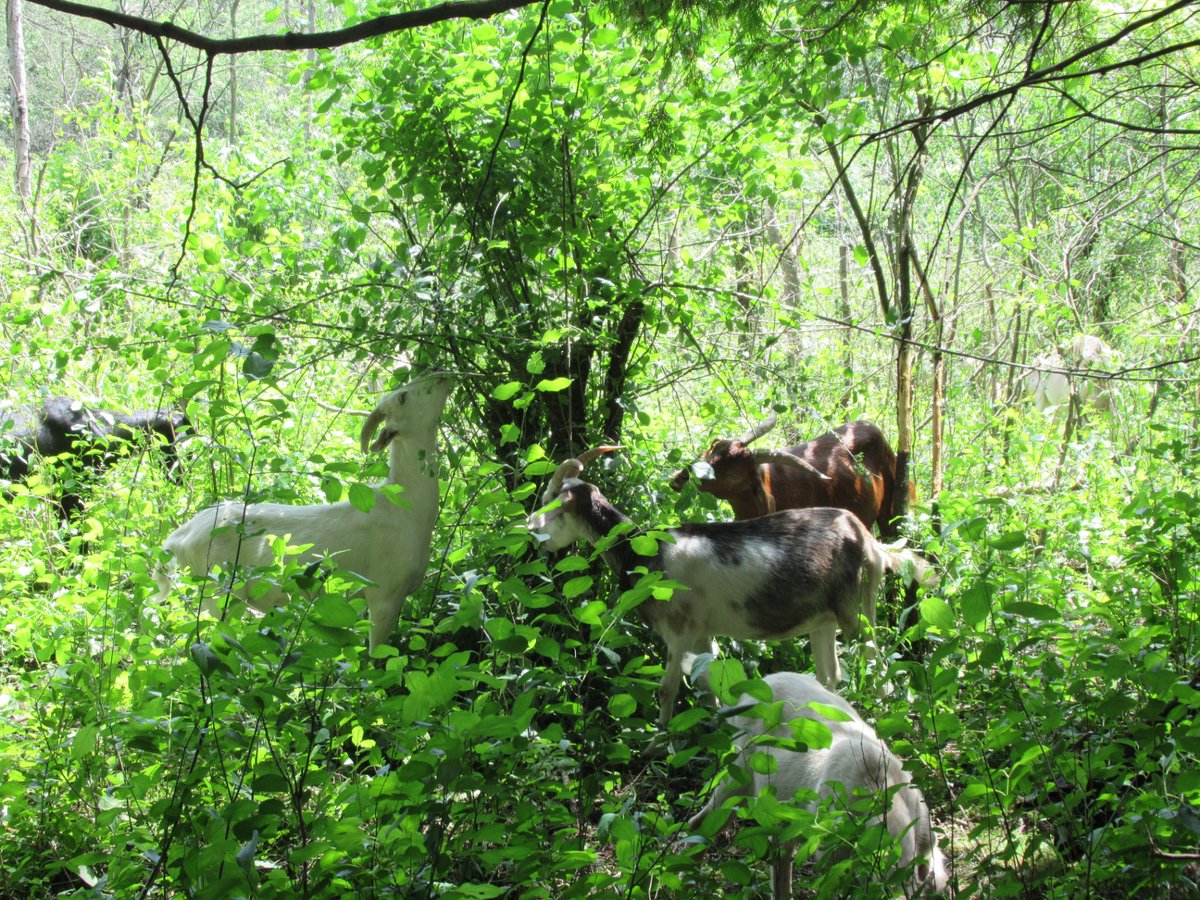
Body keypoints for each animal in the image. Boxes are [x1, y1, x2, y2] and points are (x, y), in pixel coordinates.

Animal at [160, 375, 452, 652]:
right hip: (217, 593)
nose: (442, 377)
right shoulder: (384, 595)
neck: (404, 508)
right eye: (402, 397)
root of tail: (177, 539)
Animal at [527, 449, 933, 729]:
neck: (647, 551)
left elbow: (668, 689)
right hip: (824, 620)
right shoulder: (702, 635)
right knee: (830, 675)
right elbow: (710, 686)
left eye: (551, 503)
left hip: (857, 610)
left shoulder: (678, 632)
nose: (530, 529)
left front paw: (658, 743)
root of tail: (869, 542)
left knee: (879, 671)